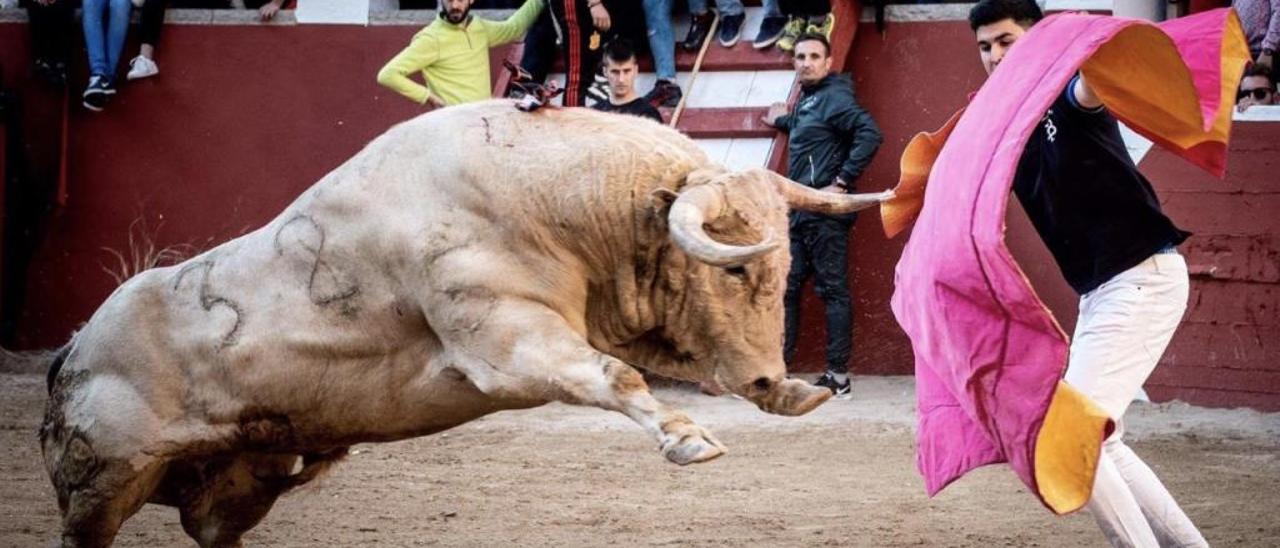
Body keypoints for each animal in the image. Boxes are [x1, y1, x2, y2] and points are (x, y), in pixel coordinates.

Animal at [40, 100, 890, 545]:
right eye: (737, 267)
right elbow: (614, 376)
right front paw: (689, 439)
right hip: (101, 482)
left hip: (238, 486)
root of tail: (72, 350)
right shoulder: (504, 342)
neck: (550, 199)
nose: (771, 380)